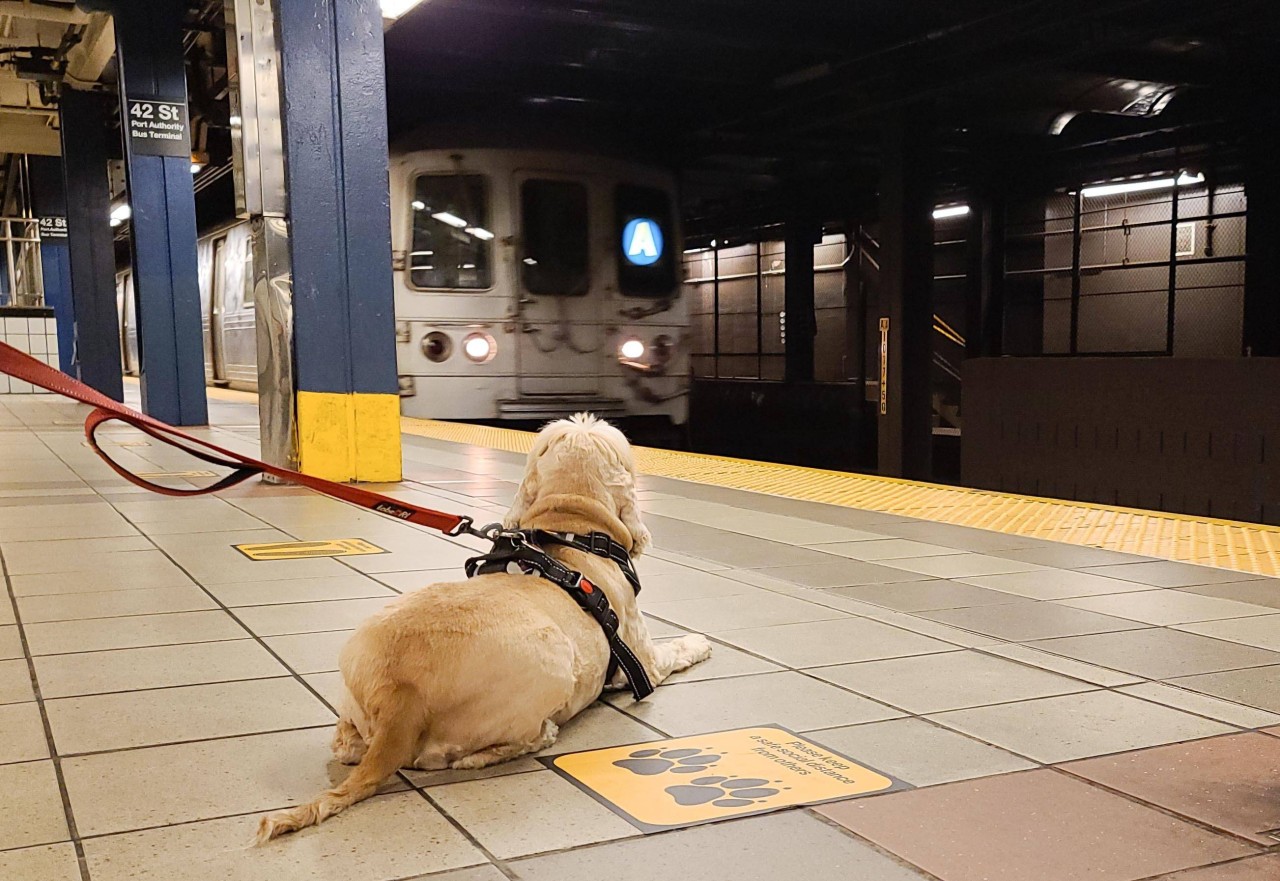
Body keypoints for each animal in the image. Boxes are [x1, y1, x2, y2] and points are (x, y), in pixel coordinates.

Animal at [254, 412, 716, 840]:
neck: (570, 521)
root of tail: (400, 692)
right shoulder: (641, 660)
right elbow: (673, 651)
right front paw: (700, 641)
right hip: (551, 662)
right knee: (460, 755)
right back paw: (539, 735)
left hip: (356, 662)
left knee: (346, 744)